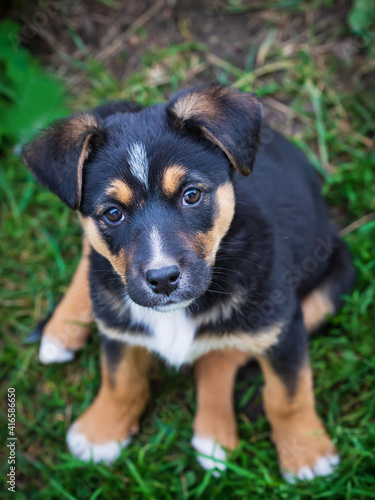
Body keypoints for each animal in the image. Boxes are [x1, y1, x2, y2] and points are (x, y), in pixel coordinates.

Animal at [23, 84, 356, 482]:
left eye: (191, 195)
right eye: (113, 213)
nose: (163, 279)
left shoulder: (282, 325)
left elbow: (288, 396)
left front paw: (307, 456)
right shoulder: (118, 325)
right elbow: (121, 381)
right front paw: (101, 433)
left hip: (332, 284)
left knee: (224, 356)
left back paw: (214, 434)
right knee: (88, 259)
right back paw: (60, 333)